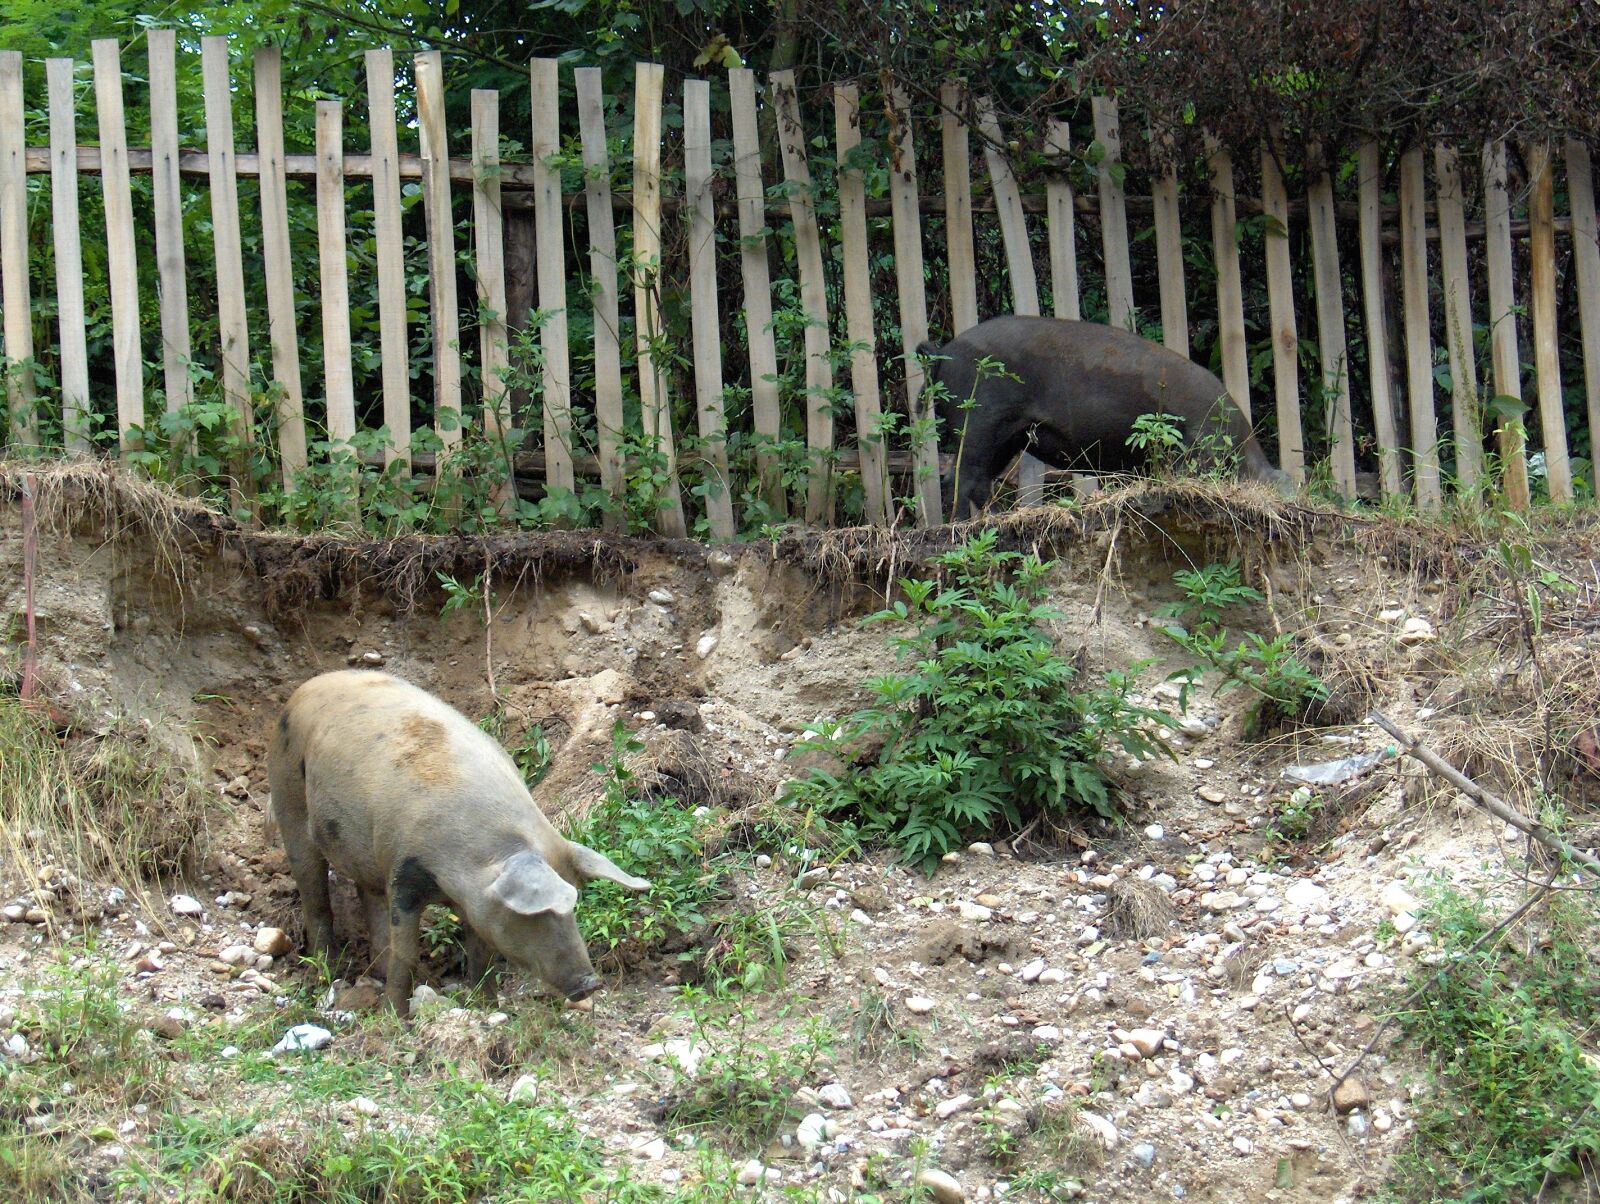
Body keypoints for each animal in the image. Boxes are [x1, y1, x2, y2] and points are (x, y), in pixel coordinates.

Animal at [266, 669, 649, 1015]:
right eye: (538, 914)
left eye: (574, 907)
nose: (592, 983)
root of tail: (304, 688)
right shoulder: (404, 871)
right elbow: (406, 951)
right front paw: (395, 1019)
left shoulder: (475, 902)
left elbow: (481, 954)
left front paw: (489, 1008)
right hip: (287, 793)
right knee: (315, 894)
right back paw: (328, 974)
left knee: (367, 895)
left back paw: (374, 972)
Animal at [918, 315, 1293, 518]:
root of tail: (943, 351)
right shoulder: (1196, 449)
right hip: (979, 422)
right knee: (961, 479)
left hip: (1008, 438)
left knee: (978, 481)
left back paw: (1001, 516)